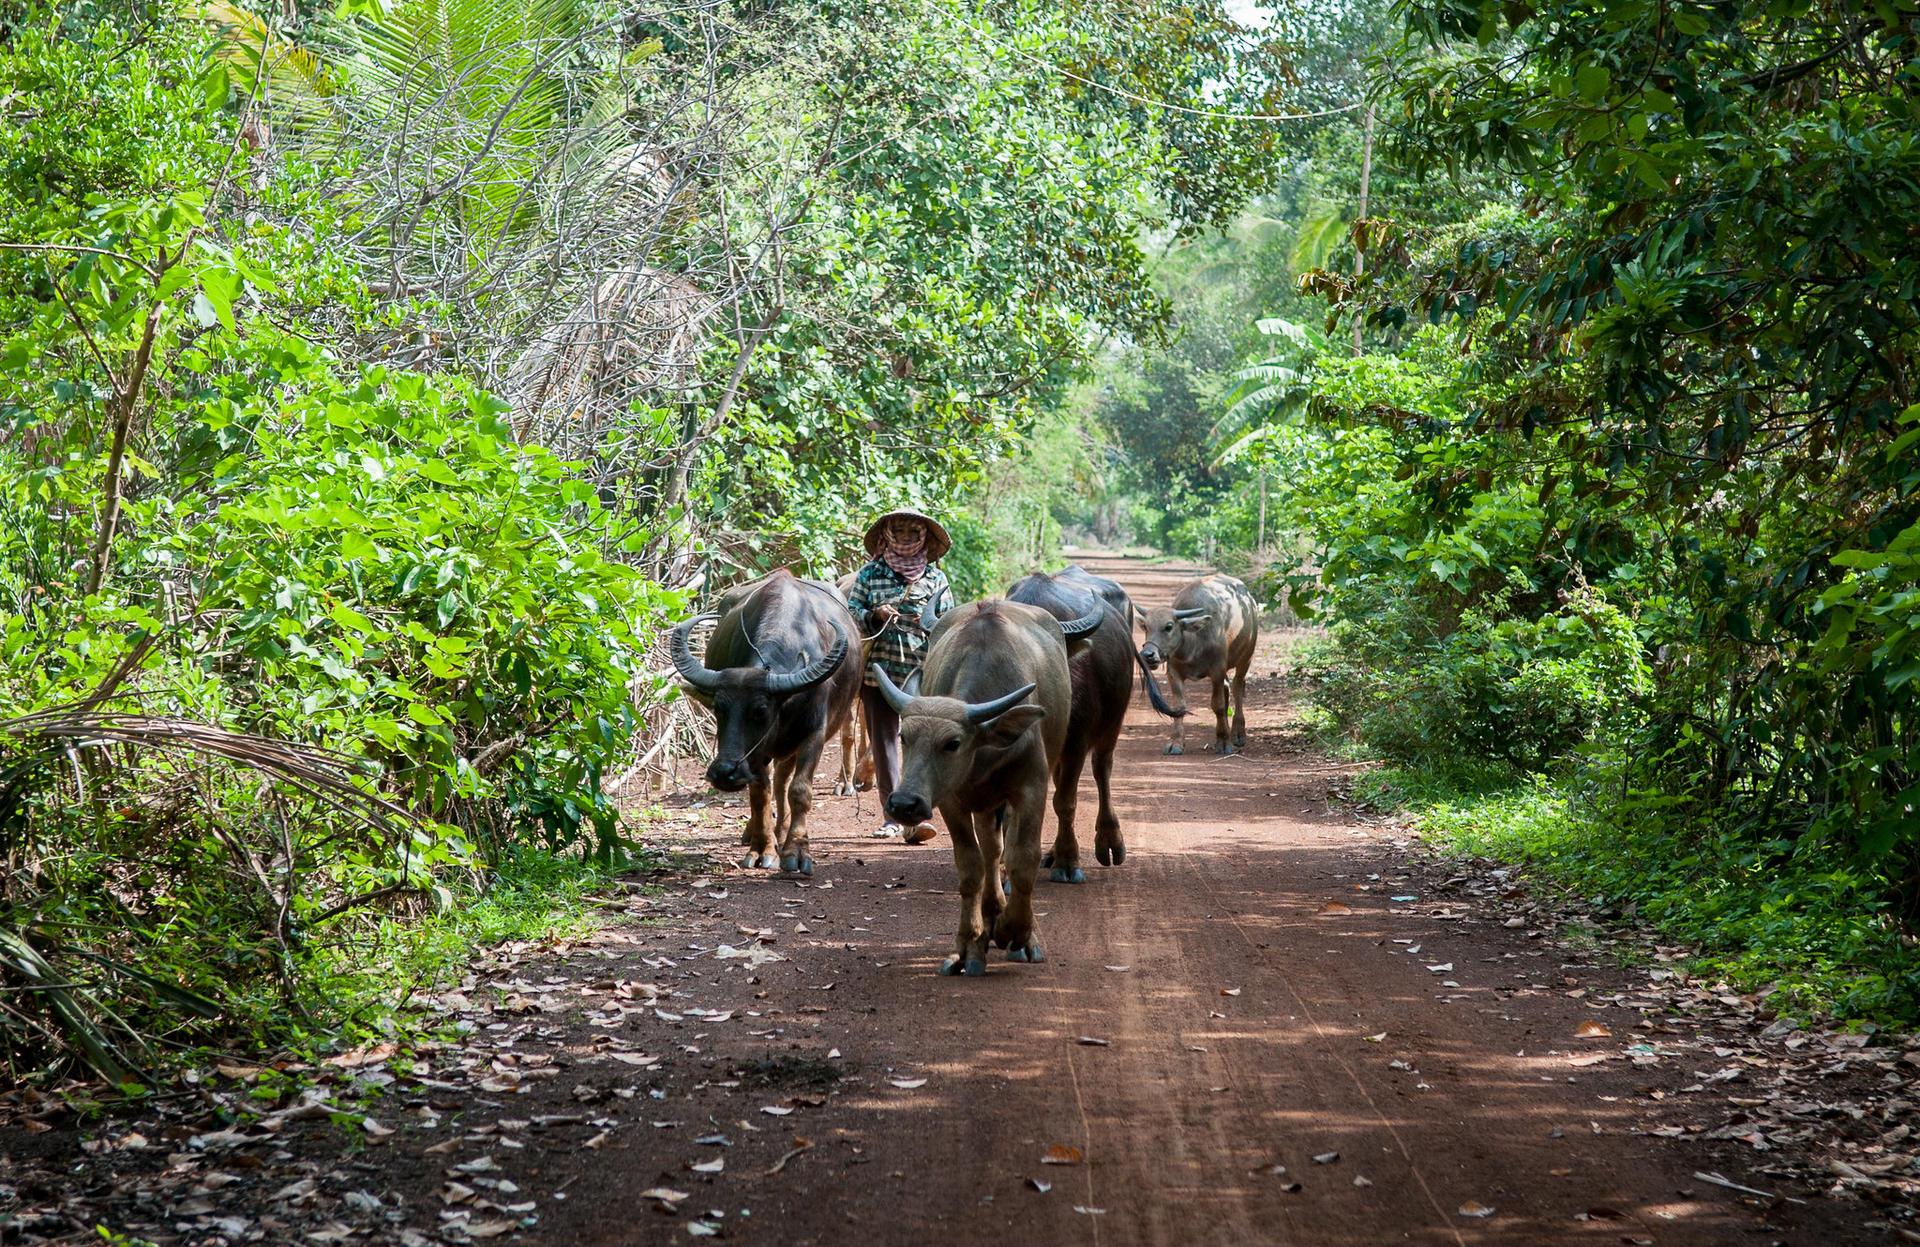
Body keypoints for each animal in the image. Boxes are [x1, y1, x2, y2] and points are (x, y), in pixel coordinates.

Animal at [672, 568, 860, 872]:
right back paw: (760, 831)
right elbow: (760, 793)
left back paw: (782, 831)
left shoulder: (814, 734)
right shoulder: (756, 752)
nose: (724, 772)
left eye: (761, 711)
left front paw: (796, 851)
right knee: (774, 783)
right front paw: (763, 849)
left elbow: (800, 790)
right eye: (719, 709)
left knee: (784, 780)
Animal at [867, 599, 1098, 976]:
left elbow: (1023, 859)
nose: (903, 804)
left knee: (1005, 850)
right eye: (904, 736)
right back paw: (989, 920)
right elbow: (971, 867)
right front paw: (969, 946)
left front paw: (1015, 932)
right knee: (991, 853)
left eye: (953, 743)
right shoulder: (952, 801)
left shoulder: (1031, 788)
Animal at [1006, 561, 1182, 880]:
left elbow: (1065, 801)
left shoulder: (1077, 739)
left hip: (1112, 722)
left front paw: (1067, 863)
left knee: (1102, 768)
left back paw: (1109, 843)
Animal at [1136, 576, 1259, 757]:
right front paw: (1176, 743)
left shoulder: (1217, 670)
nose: (1147, 654)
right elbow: (1179, 707)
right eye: (1146, 626)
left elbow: (1218, 705)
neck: (1193, 644)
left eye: (1169, 626)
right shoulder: (1173, 673)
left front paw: (1223, 743)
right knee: (1227, 688)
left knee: (1237, 688)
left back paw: (1237, 734)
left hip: (1246, 657)